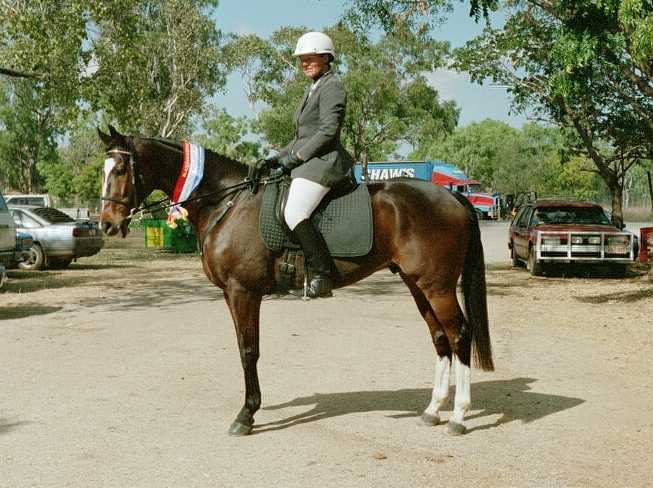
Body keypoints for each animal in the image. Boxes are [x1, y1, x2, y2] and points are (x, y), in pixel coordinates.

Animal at [98, 125, 494, 434]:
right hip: (418, 285)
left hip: (437, 287)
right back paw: (432, 410)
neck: (226, 203)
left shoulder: (243, 292)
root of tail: (453, 198)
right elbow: (244, 348)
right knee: (440, 337)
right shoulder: (231, 294)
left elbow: (249, 350)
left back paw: (458, 416)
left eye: (121, 168)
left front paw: (246, 415)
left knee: (460, 334)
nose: (107, 224)